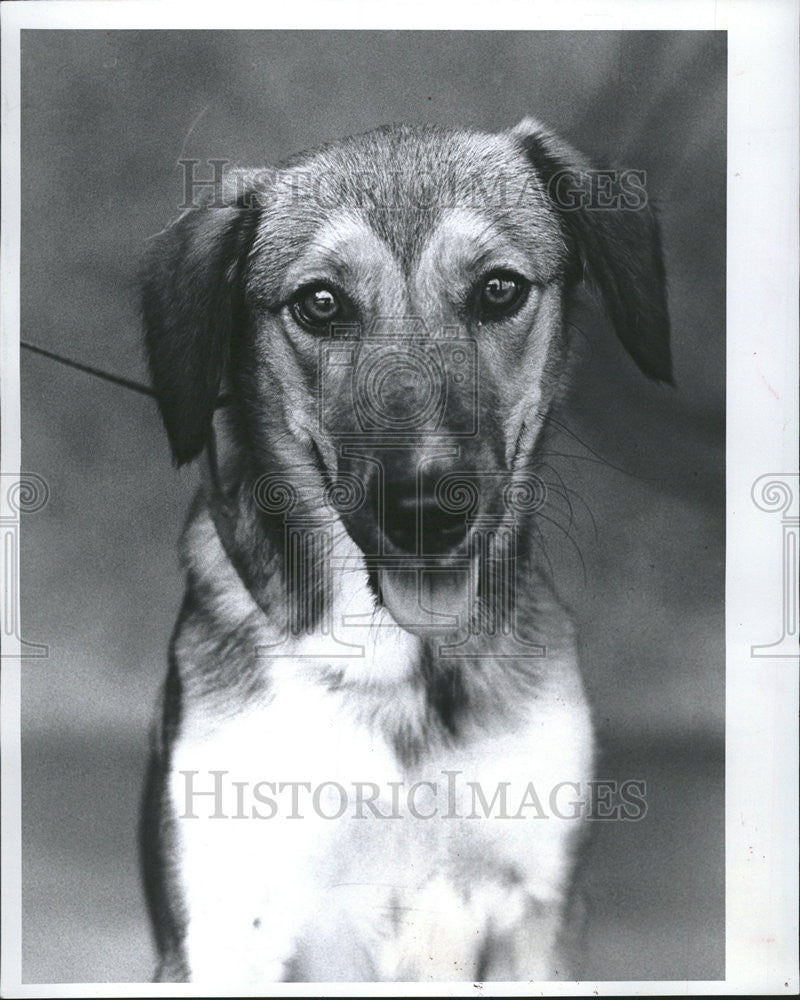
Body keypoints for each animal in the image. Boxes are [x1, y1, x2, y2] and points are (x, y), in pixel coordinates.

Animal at [138, 119, 668, 984]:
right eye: (321, 303)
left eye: (499, 290)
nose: (428, 513)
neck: (396, 667)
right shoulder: (223, 930)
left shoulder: (539, 915)